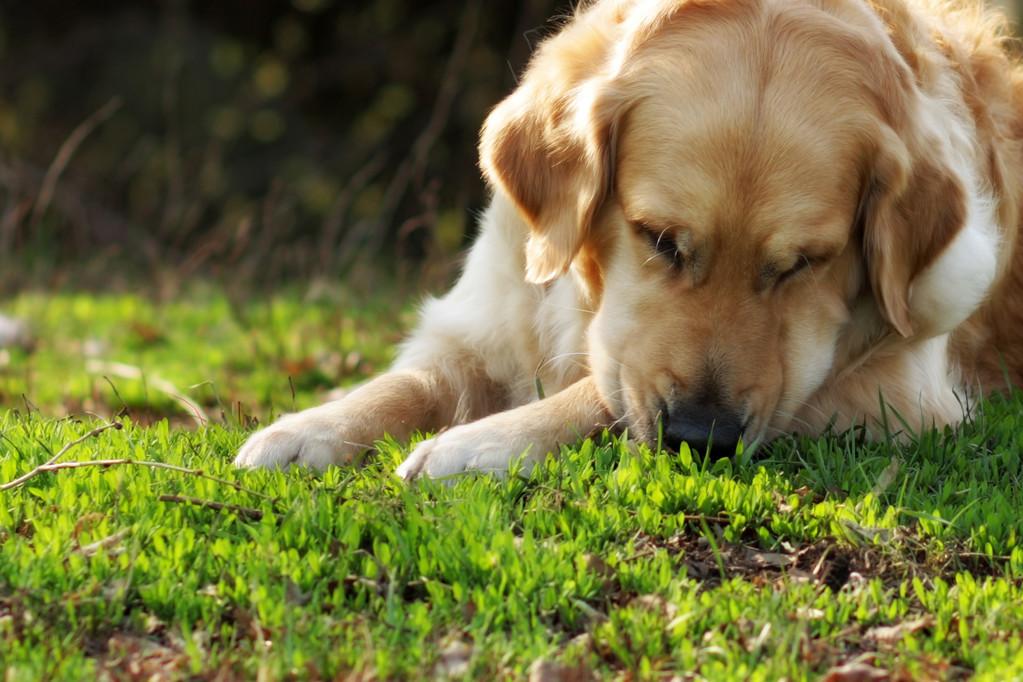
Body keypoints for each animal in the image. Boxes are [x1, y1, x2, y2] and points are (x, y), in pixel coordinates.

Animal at [232, 0, 1023, 480]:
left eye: (802, 264)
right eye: (659, 239)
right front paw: (308, 427)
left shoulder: (895, 392)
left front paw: (474, 446)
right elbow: (411, 381)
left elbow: (600, 390)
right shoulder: (486, 322)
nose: (702, 437)